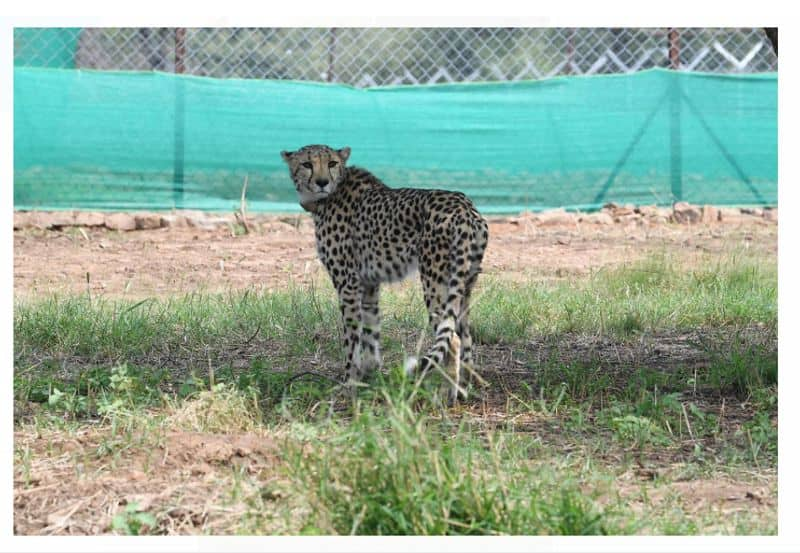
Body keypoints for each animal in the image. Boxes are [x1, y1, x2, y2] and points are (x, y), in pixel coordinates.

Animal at [282, 143, 488, 402]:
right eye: (307, 164)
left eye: (331, 163)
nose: (321, 182)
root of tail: (464, 205)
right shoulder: (369, 284)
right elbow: (370, 333)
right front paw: (371, 376)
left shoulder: (347, 282)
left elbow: (351, 338)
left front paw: (349, 383)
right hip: (464, 285)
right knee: (466, 335)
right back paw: (465, 389)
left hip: (435, 281)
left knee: (453, 338)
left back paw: (447, 394)